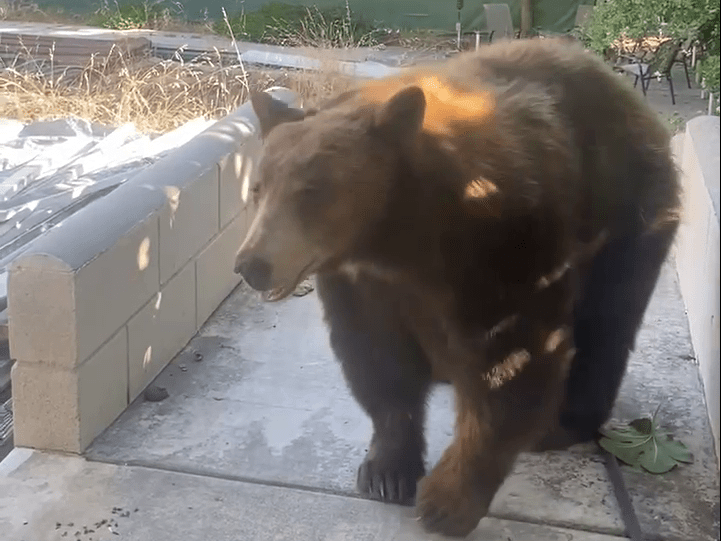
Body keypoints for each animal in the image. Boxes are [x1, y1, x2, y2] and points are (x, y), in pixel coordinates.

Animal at [234, 37, 680, 538]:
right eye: (258, 188)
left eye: (311, 191)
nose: (252, 265)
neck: (397, 234)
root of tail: (632, 100)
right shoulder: (361, 283)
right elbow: (376, 359)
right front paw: (387, 470)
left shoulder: (503, 245)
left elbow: (512, 362)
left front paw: (446, 501)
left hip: (626, 212)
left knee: (608, 319)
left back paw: (565, 422)